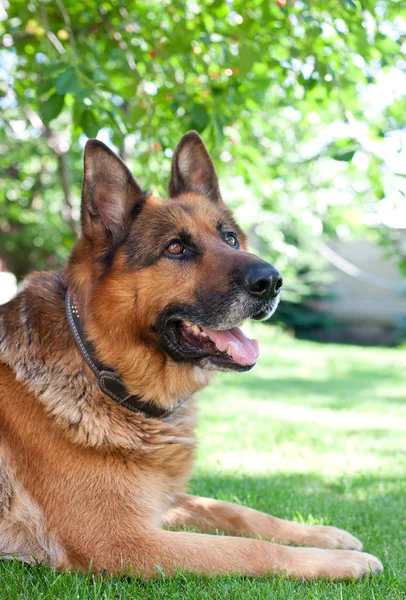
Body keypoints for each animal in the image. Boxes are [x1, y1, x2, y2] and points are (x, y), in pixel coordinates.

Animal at [0, 134, 384, 580]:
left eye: (230, 239)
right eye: (176, 248)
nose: (272, 281)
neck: (97, 366)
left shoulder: (160, 502)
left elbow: (237, 511)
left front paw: (320, 533)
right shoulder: (120, 541)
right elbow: (249, 549)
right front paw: (337, 561)